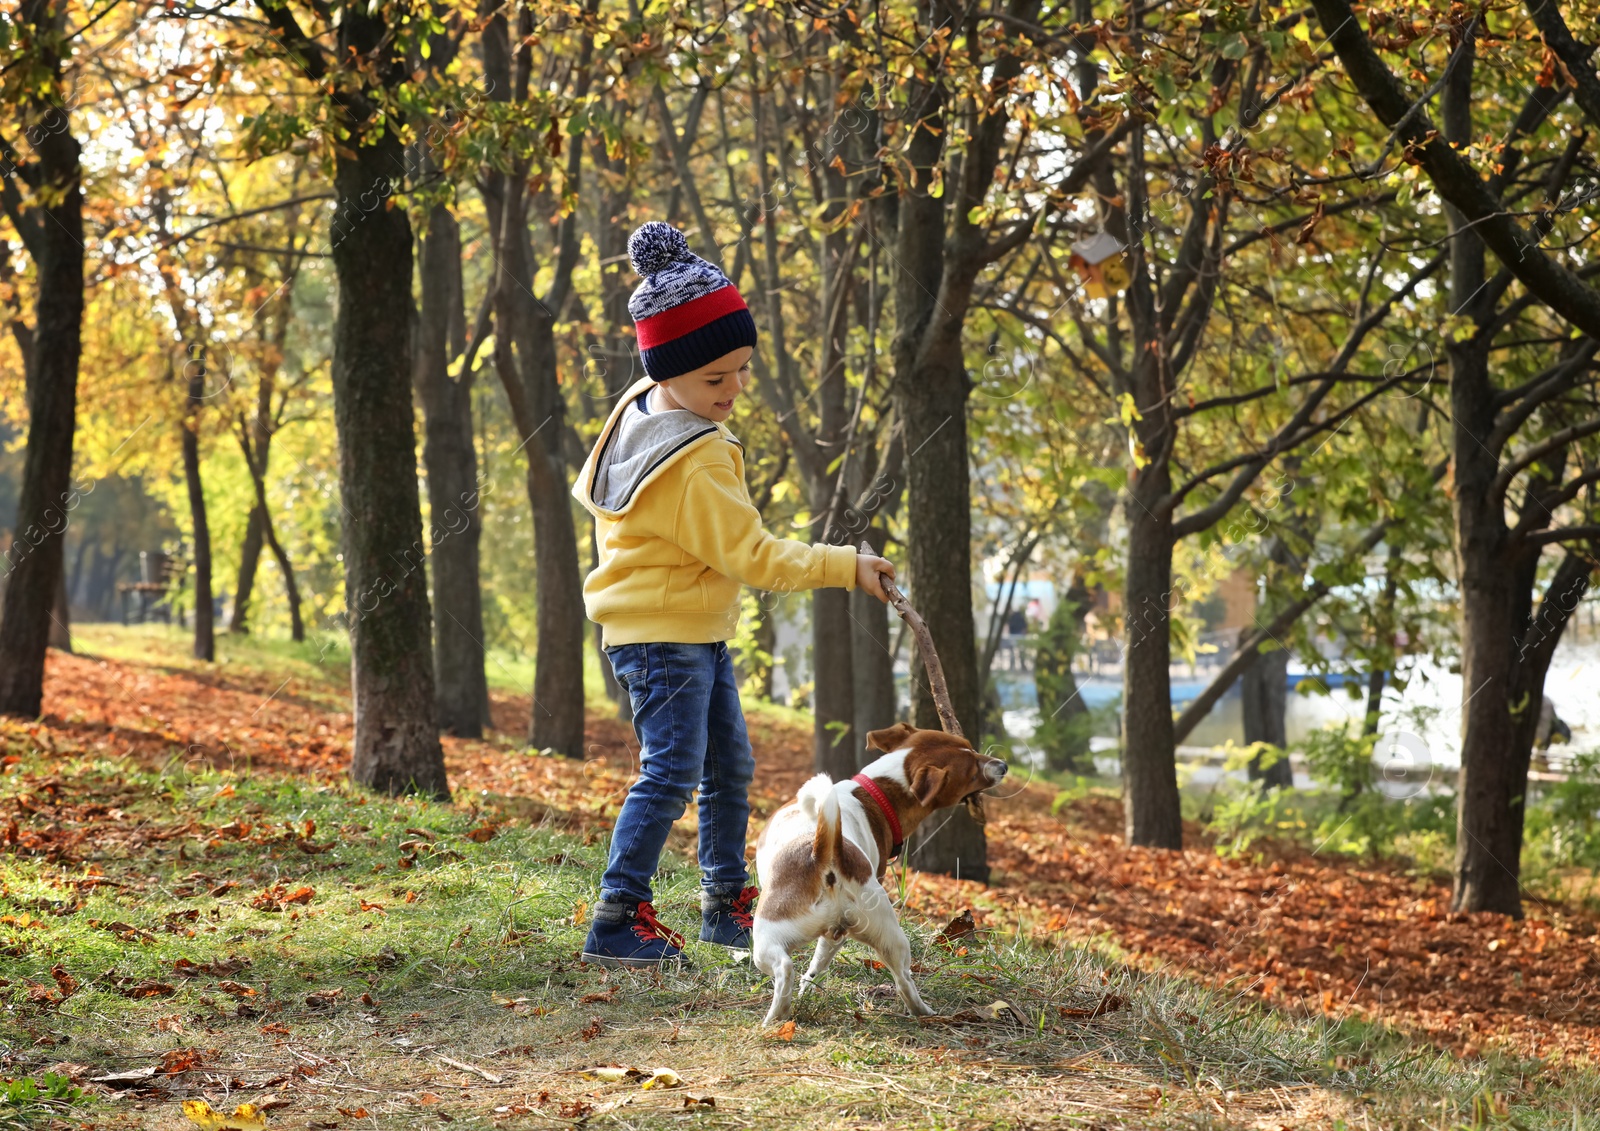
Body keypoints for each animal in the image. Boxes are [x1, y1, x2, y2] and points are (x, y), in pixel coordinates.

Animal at [745, 719, 998, 1030]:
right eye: (972, 769)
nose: (1003, 765)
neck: (875, 795)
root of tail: (827, 850)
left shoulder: (833, 934)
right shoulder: (836, 935)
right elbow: (818, 965)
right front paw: (809, 989)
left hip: (768, 935)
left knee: (785, 968)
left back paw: (775, 1017)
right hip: (884, 936)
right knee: (902, 978)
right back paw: (921, 1011)